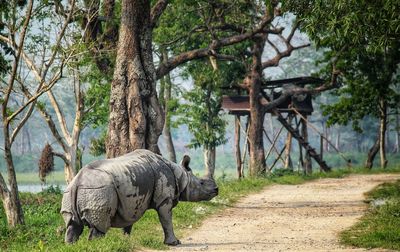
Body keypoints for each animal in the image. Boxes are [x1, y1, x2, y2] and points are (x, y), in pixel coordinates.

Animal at [61, 149, 219, 245]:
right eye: (201, 182)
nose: (216, 189)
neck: (180, 175)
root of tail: (77, 181)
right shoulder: (164, 199)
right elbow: (166, 219)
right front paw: (174, 243)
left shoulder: (131, 202)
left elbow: (128, 221)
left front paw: (126, 241)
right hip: (99, 190)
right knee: (99, 227)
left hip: (72, 193)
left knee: (72, 224)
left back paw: (70, 245)